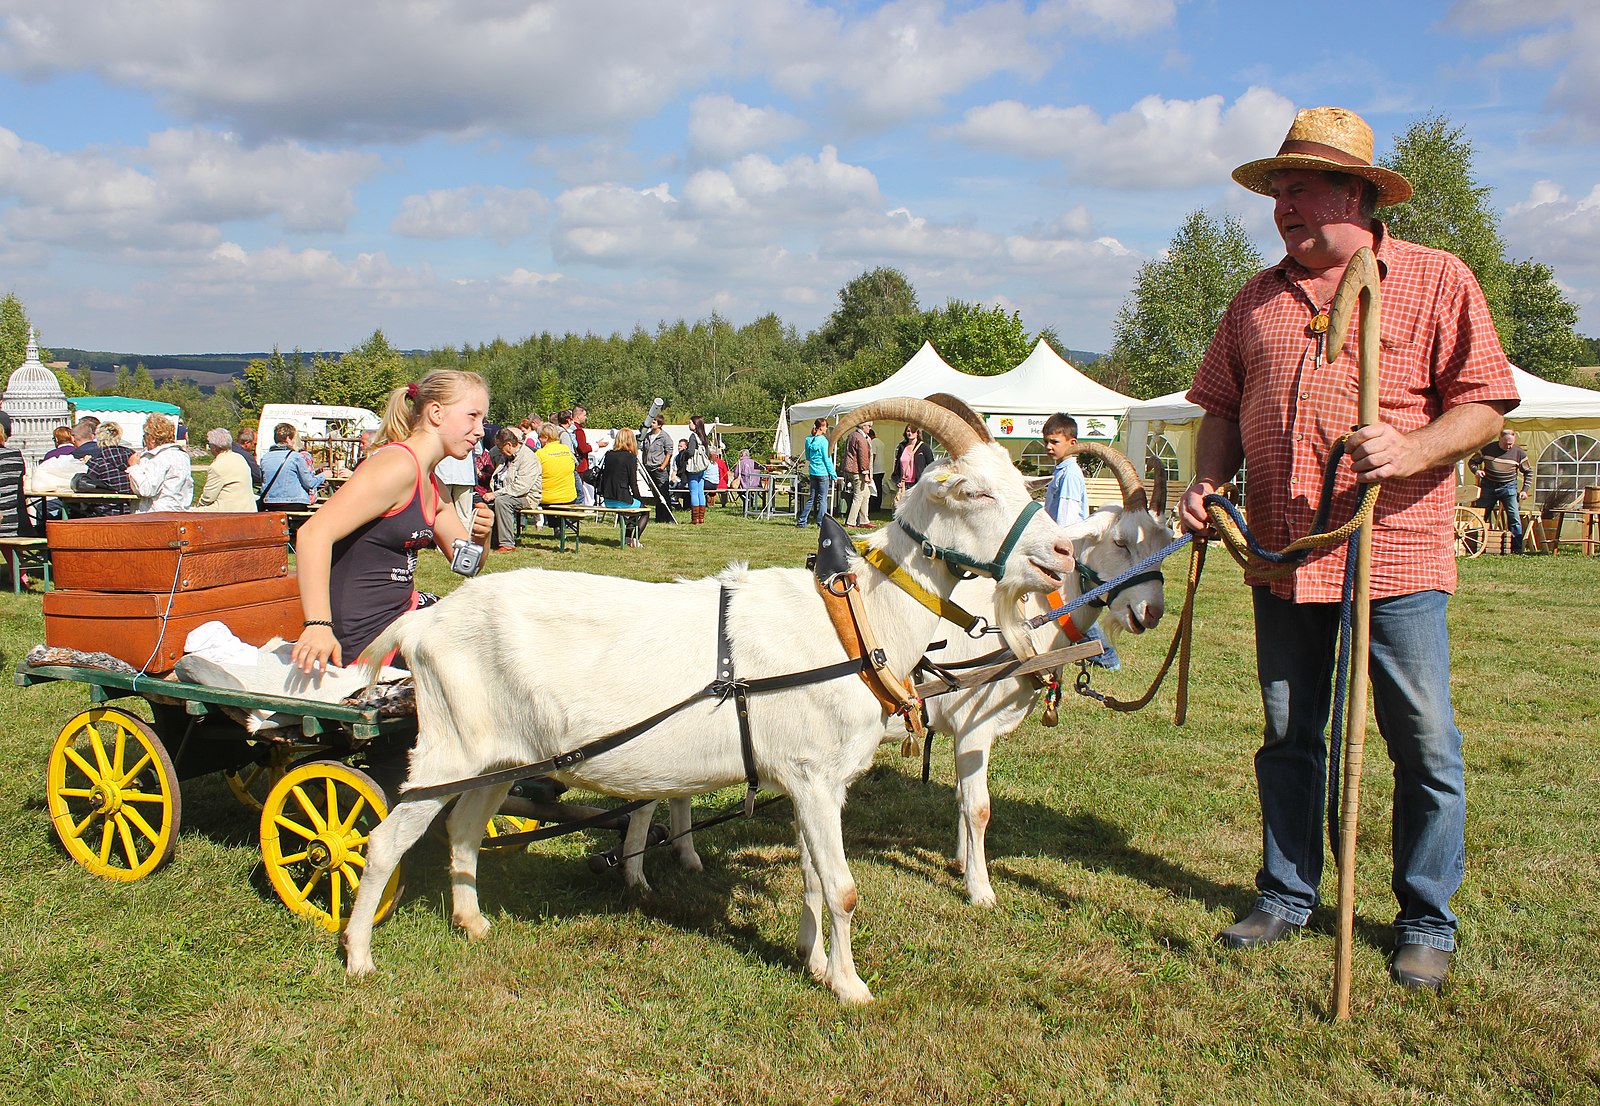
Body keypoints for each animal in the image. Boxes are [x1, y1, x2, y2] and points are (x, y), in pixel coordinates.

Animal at [337, 395, 1075, 1005]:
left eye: (1023, 485)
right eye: (976, 492)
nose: (1062, 553)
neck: (852, 619)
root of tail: (423, 627)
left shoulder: (816, 783)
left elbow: (814, 878)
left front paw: (813, 964)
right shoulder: (812, 773)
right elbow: (842, 888)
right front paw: (852, 989)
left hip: (498, 759)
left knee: (463, 828)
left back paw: (473, 923)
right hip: (445, 753)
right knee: (383, 840)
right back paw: (359, 956)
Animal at [928, 441, 1177, 909]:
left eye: (1167, 543)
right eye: (1121, 542)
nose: (1151, 611)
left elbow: (960, 796)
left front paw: (961, 863)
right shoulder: (972, 725)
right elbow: (979, 807)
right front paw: (980, 889)